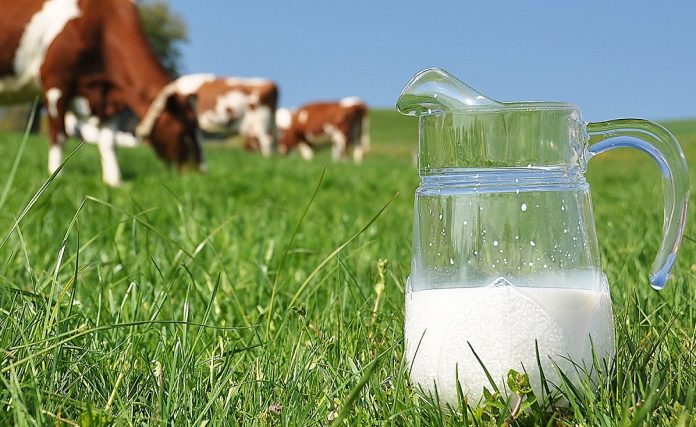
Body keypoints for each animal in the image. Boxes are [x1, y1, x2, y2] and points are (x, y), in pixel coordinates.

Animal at [0, 0, 203, 187]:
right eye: (185, 129)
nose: (197, 171)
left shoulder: (111, 97)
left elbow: (109, 142)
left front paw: (114, 181)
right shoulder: (56, 83)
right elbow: (58, 134)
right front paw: (56, 177)